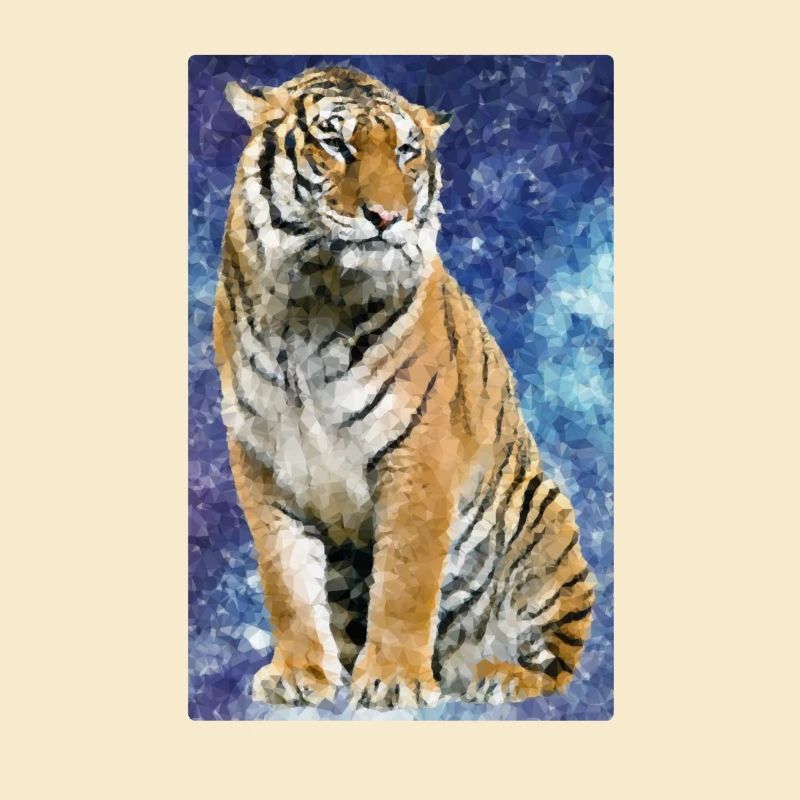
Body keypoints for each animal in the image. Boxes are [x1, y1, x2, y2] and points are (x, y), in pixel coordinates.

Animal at [213, 66, 596, 709]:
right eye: (335, 144)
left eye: (405, 152)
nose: (387, 217)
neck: (311, 304)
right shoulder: (260, 459)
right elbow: (286, 581)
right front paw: (300, 675)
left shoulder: (419, 454)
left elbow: (405, 580)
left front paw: (394, 681)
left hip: (548, 524)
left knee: (556, 664)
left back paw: (500, 677)